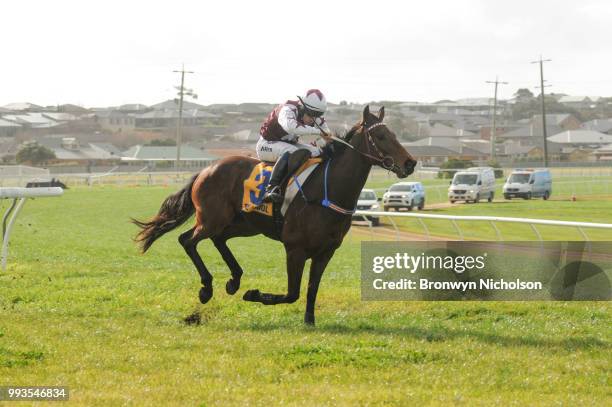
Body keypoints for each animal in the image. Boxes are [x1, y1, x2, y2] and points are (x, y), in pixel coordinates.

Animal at [135, 106, 416, 326]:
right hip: (211, 219)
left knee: (218, 239)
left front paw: (309, 321)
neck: (327, 190)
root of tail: (207, 169)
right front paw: (253, 295)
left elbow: (311, 289)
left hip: (244, 224)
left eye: (394, 134)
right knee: (188, 240)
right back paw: (207, 288)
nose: (410, 163)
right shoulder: (295, 248)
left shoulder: (326, 251)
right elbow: (292, 293)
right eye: (380, 136)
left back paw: (234, 280)